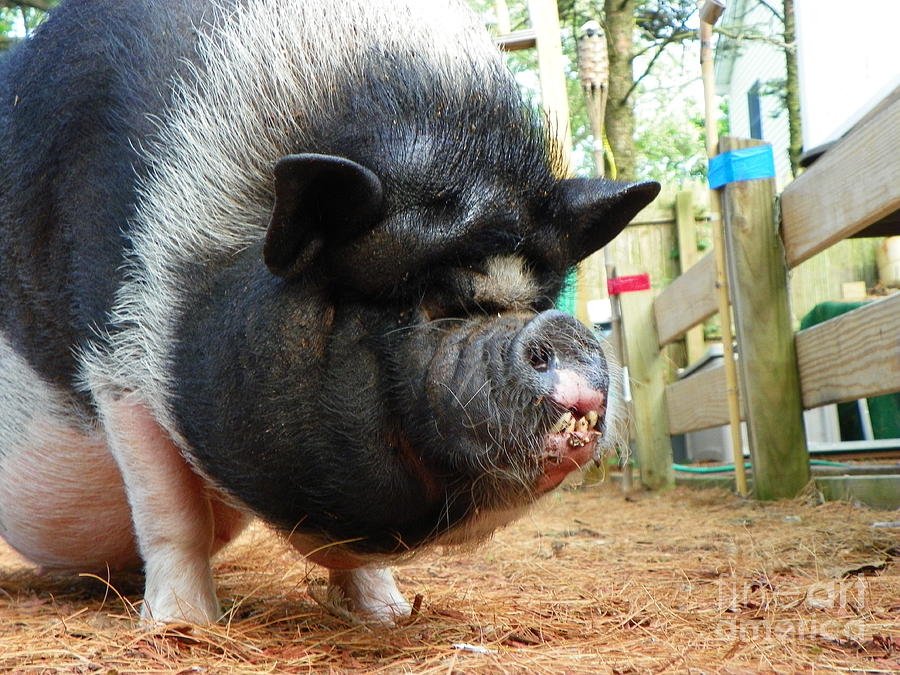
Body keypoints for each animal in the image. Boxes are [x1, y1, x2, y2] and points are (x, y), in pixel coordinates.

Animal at [0, 0, 659, 625]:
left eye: (540, 300)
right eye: (427, 299)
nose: (563, 330)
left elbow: (352, 553)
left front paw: (389, 617)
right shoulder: (118, 369)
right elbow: (171, 514)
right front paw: (181, 628)